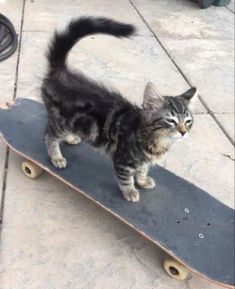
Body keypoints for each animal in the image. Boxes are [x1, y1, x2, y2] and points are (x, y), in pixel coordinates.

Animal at [41, 16, 196, 201]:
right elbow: (126, 178)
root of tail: (60, 73)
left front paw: (142, 181)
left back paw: (72, 138)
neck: (156, 140)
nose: (183, 132)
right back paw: (56, 157)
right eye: (170, 120)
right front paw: (130, 192)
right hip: (61, 122)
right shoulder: (123, 160)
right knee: (49, 136)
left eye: (188, 121)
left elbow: (142, 170)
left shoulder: (142, 162)